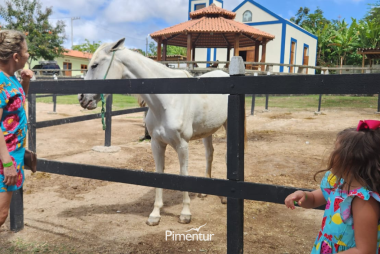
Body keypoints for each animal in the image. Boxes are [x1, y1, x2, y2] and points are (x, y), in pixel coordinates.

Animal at [78, 38, 238, 226]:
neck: (167, 100)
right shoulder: (157, 144)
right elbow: (159, 174)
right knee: (209, 154)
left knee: (226, 156)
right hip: (207, 131)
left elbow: (183, 174)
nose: (82, 98)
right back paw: (204, 192)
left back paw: (224, 197)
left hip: (228, 126)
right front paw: (155, 214)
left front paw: (185, 213)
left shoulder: (182, 146)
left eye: (95, 65)